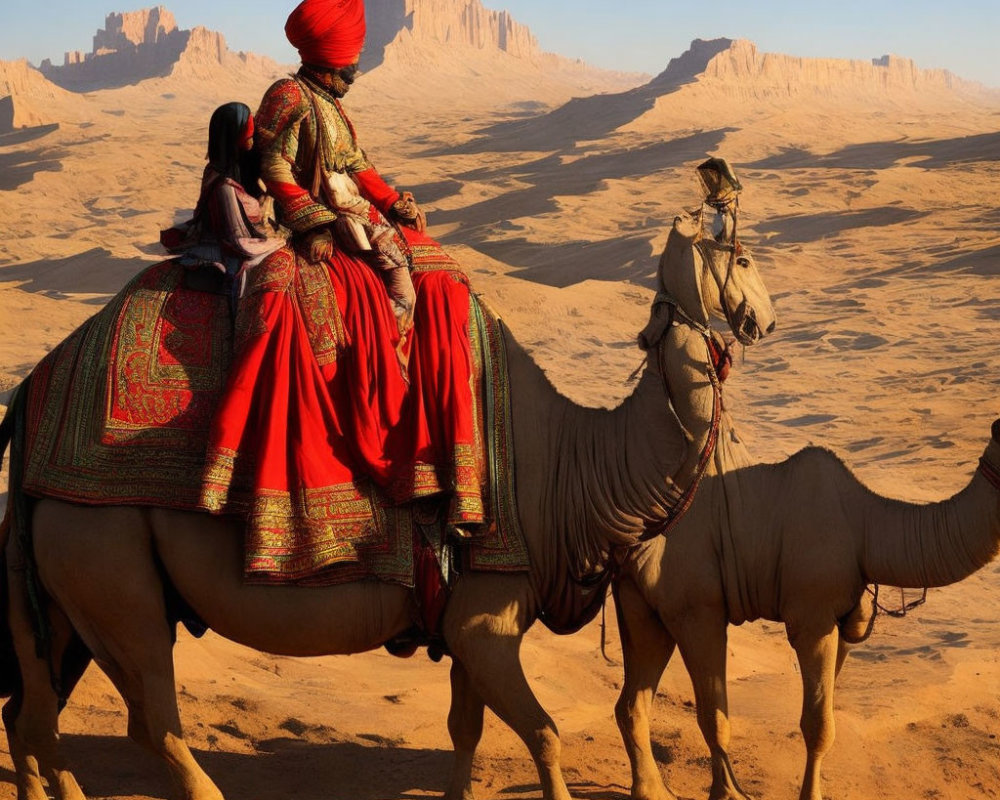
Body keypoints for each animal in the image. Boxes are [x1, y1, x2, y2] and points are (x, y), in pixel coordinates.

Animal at [0, 212, 776, 800]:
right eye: (740, 255)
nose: (762, 319)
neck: (568, 467)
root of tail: (34, 404)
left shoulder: (461, 621)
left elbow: (466, 731)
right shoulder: (489, 614)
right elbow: (546, 733)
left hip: (69, 581)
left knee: (32, 710)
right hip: (108, 552)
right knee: (148, 717)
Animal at [608, 372, 1000, 796]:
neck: (865, 525)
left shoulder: (843, 620)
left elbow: (825, 710)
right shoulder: (813, 618)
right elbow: (818, 725)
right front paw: (810, 794)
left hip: (639, 600)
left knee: (632, 700)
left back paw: (651, 790)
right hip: (693, 606)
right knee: (709, 705)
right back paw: (726, 792)